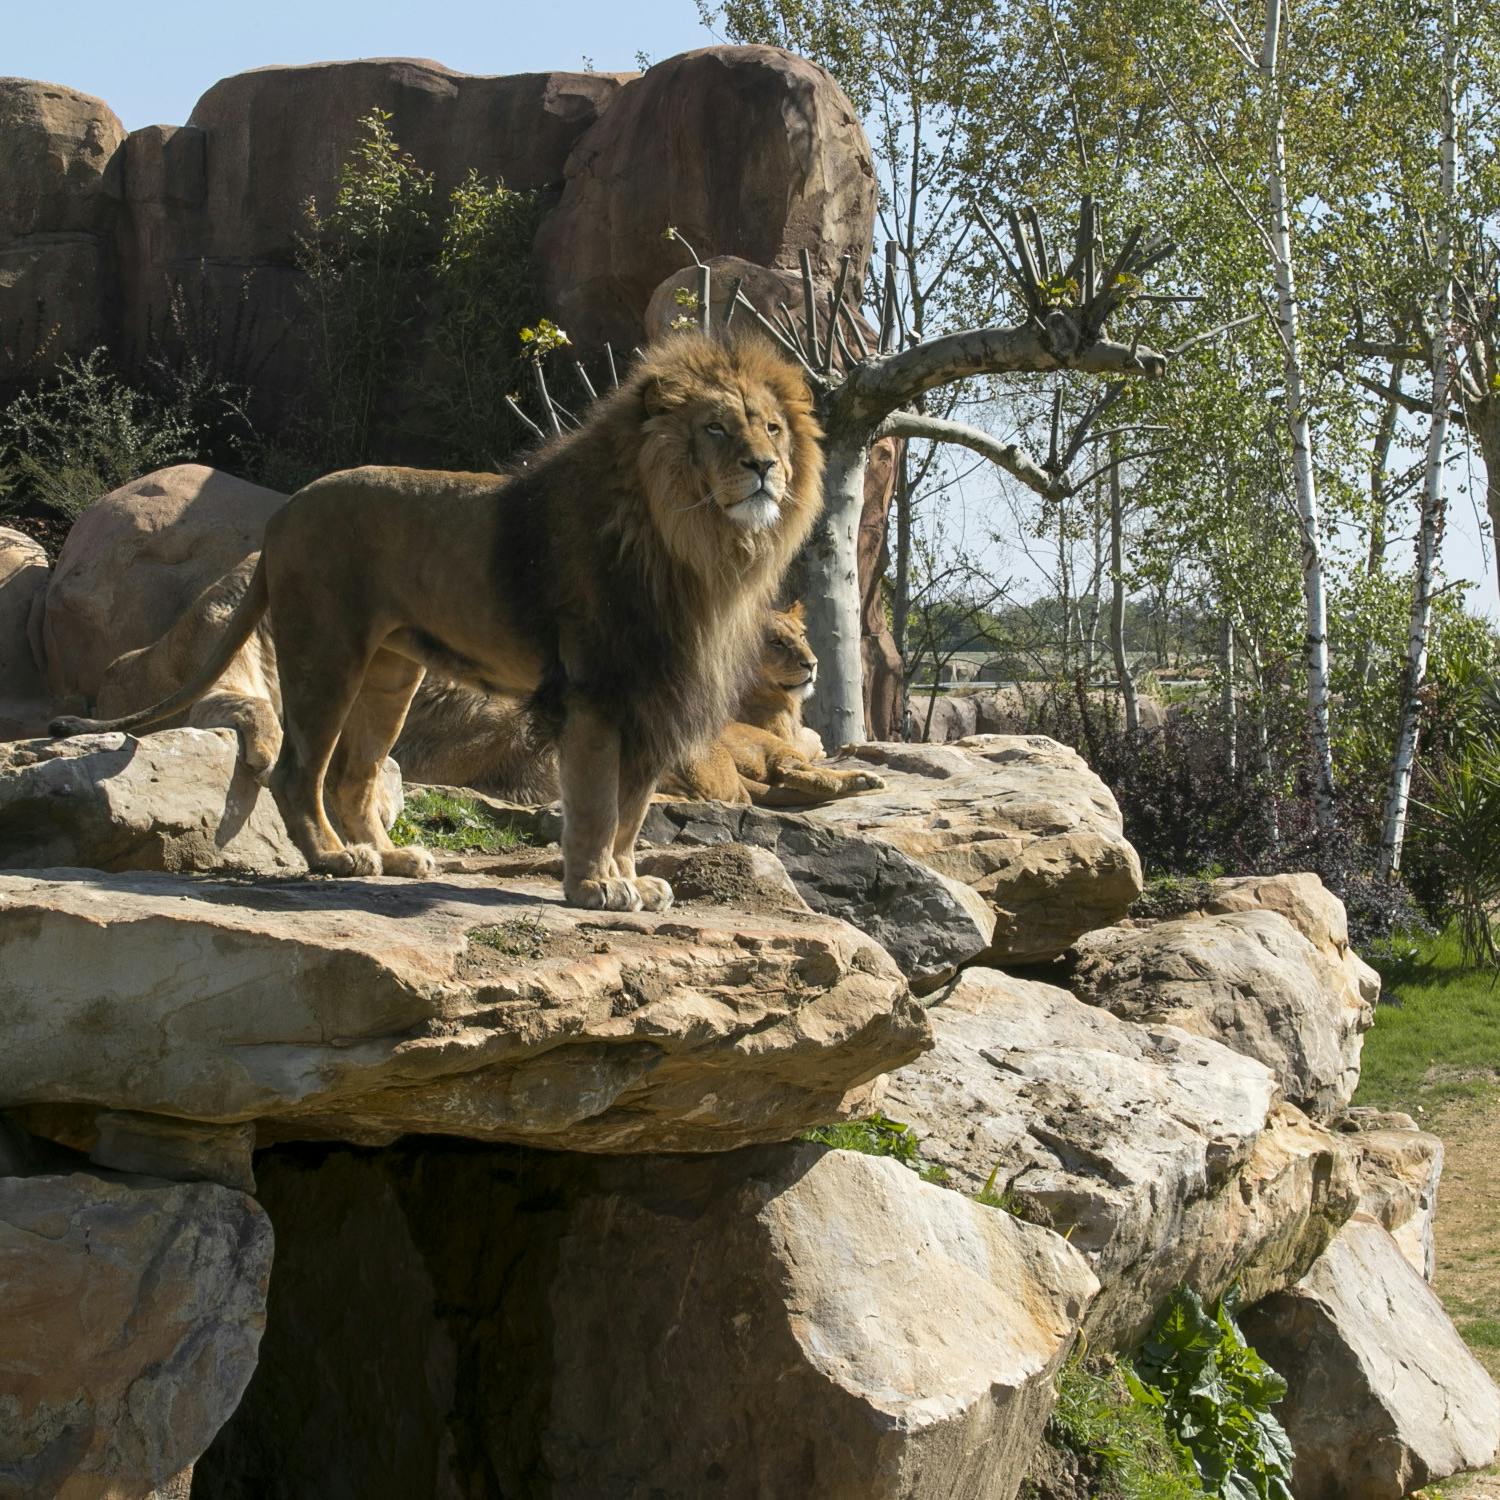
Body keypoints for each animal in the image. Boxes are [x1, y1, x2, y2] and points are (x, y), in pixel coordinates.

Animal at [53, 331, 824, 911]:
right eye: (716, 428)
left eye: (773, 427)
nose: (765, 466)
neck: (700, 546)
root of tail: (281, 516)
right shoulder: (594, 694)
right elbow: (597, 805)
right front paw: (595, 887)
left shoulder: (650, 699)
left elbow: (631, 811)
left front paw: (632, 880)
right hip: (324, 653)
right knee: (298, 771)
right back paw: (336, 859)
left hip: (391, 673)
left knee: (353, 774)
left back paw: (392, 856)